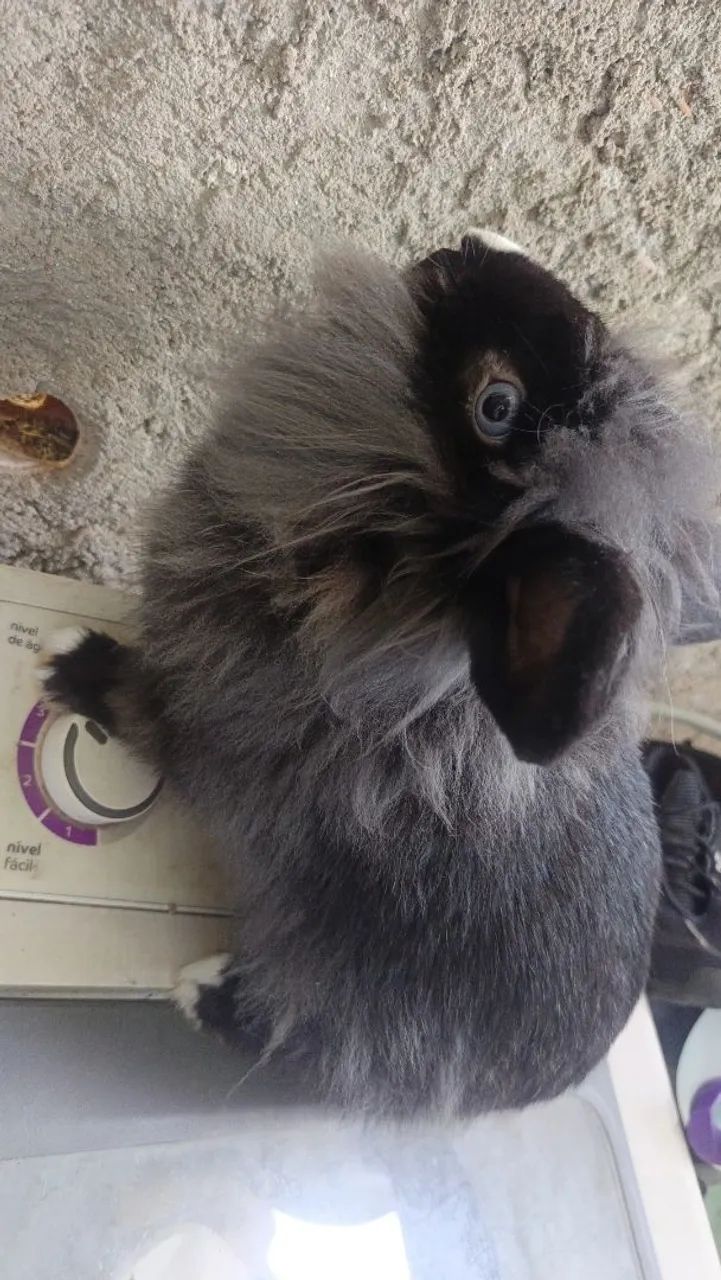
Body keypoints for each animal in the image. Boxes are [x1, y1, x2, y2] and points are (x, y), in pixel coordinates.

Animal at [40, 230, 720, 1118]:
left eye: (494, 406)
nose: (478, 241)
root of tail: (548, 1083)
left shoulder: (193, 710)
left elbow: (131, 700)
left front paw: (67, 659)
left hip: (358, 1017)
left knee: (308, 1043)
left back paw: (203, 989)